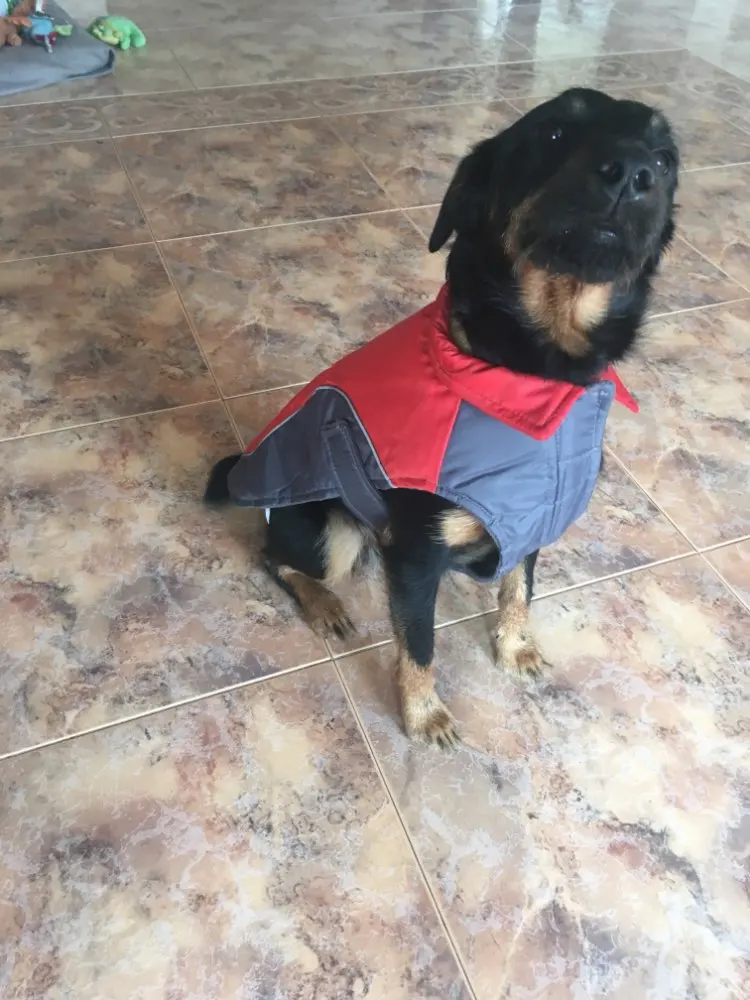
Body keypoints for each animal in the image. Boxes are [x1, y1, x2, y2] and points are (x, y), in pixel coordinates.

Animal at [205, 88, 679, 747]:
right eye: (555, 133)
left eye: (665, 160)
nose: (635, 173)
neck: (535, 373)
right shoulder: (414, 556)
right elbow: (420, 643)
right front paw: (424, 713)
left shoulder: (529, 519)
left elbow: (518, 587)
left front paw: (514, 646)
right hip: (330, 535)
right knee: (274, 556)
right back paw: (324, 605)